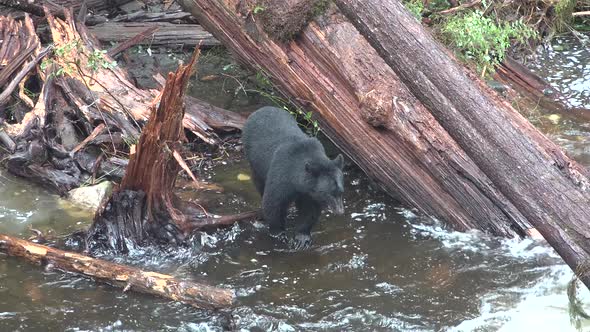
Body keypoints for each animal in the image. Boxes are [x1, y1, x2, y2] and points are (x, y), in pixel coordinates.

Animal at [242, 106, 344, 249]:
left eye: (341, 192)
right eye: (329, 194)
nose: (340, 211)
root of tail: (261, 109)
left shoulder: (310, 192)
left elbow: (310, 210)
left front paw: (302, 238)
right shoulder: (282, 173)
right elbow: (273, 203)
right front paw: (279, 234)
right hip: (254, 161)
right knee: (259, 182)